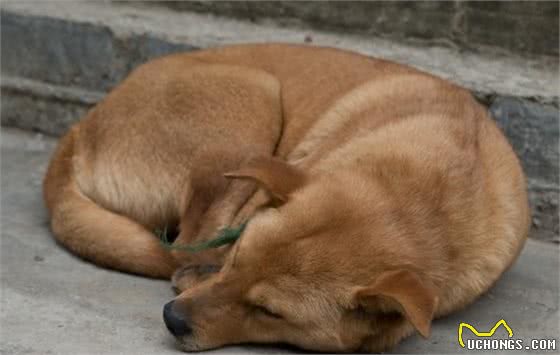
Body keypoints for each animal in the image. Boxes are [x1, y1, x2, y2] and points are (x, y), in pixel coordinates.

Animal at [43, 45, 528, 354]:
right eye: (237, 259)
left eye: (268, 312)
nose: (172, 319)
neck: (425, 193)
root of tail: (81, 128)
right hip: (254, 100)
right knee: (185, 244)